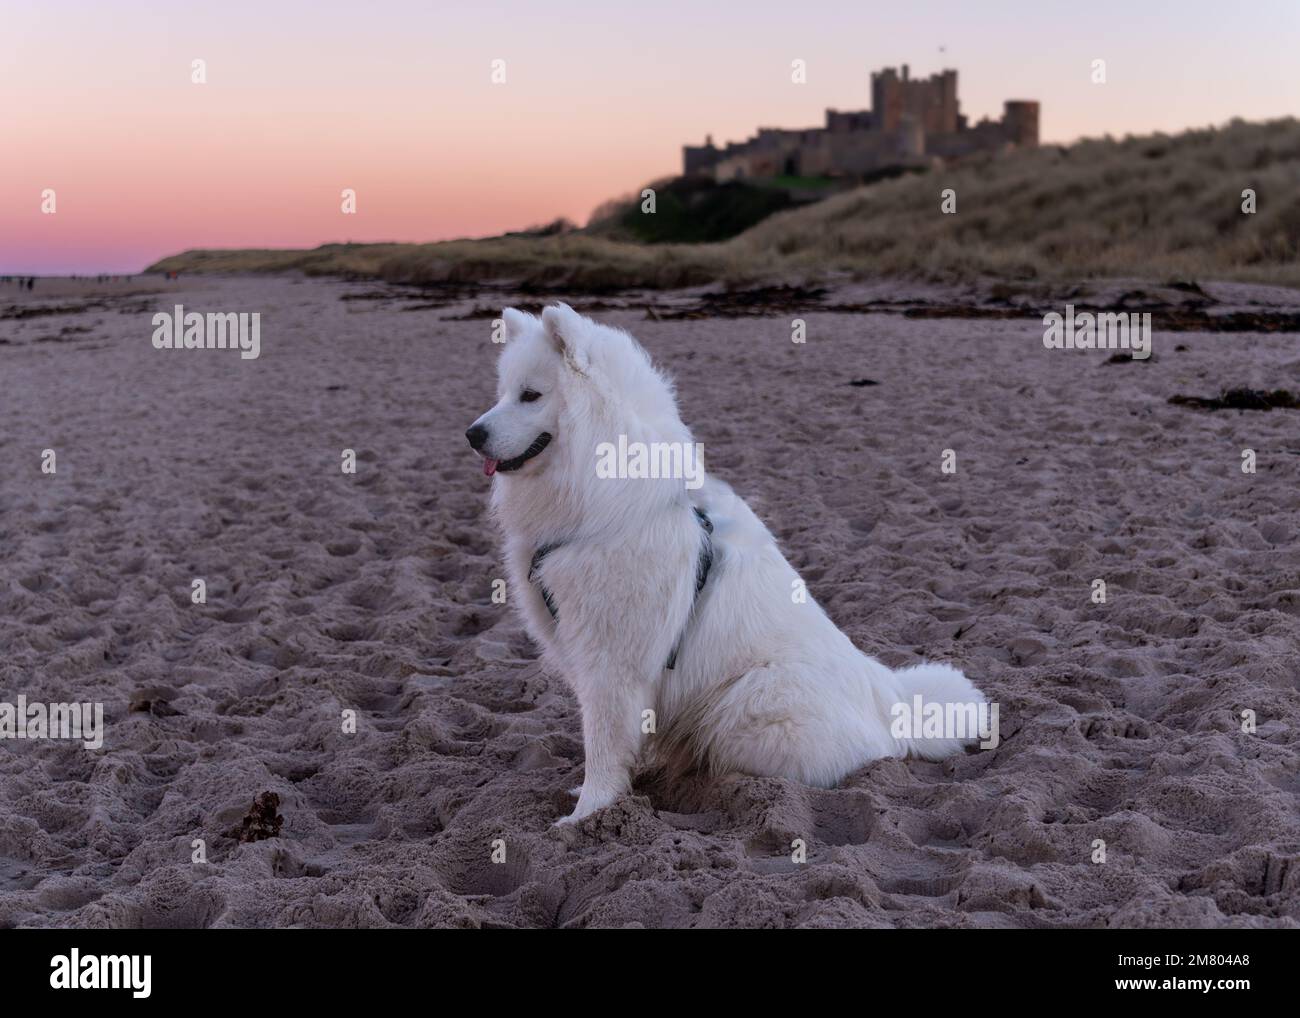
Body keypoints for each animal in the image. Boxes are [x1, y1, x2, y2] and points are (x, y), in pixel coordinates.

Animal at [467, 306, 982, 821]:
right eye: (502, 393)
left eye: (530, 395)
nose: (472, 434)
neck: (605, 499)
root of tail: (892, 704)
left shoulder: (609, 662)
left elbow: (603, 744)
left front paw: (586, 815)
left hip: (749, 702)